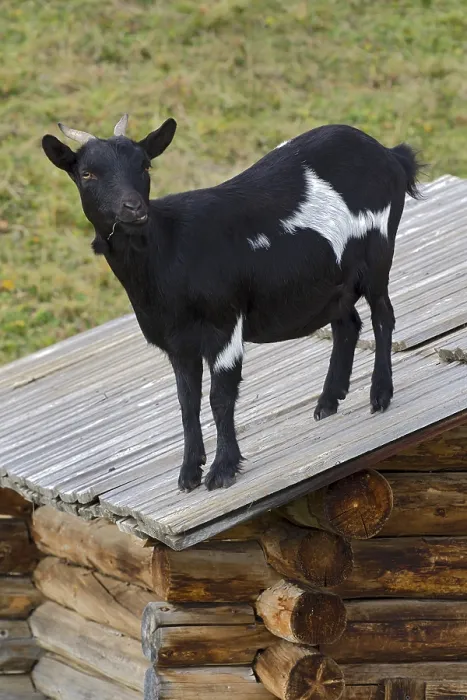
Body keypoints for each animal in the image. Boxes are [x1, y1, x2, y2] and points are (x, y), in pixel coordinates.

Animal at [42, 115, 421, 491]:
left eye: (145, 164)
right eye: (87, 173)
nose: (133, 208)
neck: (168, 251)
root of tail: (390, 155)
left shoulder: (223, 326)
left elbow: (219, 398)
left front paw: (222, 470)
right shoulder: (178, 344)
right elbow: (187, 403)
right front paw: (189, 473)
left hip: (377, 255)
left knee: (383, 316)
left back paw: (380, 394)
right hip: (333, 282)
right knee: (348, 324)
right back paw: (329, 400)